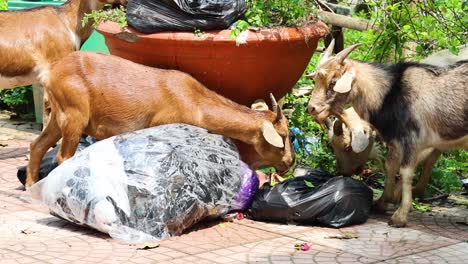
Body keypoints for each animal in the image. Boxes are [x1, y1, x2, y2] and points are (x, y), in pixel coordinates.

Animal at [25, 51, 294, 187]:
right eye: (282, 136)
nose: (290, 162)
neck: (194, 100)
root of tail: (50, 73)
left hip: (58, 116)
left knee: (37, 145)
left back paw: (30, 185)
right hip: (74, 114)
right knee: (63, 156)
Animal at [308, 40, 468, 228]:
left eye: (333, 82)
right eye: (316, 80)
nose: (311, 108)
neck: (391, 93)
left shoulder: (413, 140)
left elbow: (406, 172)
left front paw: (399, 216)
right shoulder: (397, 141)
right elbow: (390, 166)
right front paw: (382, 202)